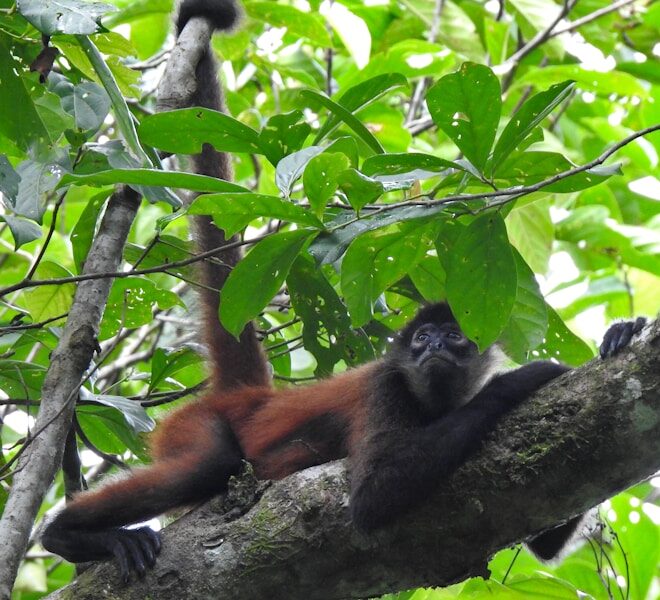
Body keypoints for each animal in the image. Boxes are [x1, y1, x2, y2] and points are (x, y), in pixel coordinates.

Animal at [41, 0, 648, 582]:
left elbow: (544, 538)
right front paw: (526, 378)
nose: (431, 347)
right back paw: (65, 535)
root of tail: (251, 396)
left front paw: (621, 334)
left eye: (453, 337)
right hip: (193, 425)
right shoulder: (386, 386)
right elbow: (374, 497)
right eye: (421, 338)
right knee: (205, 465)